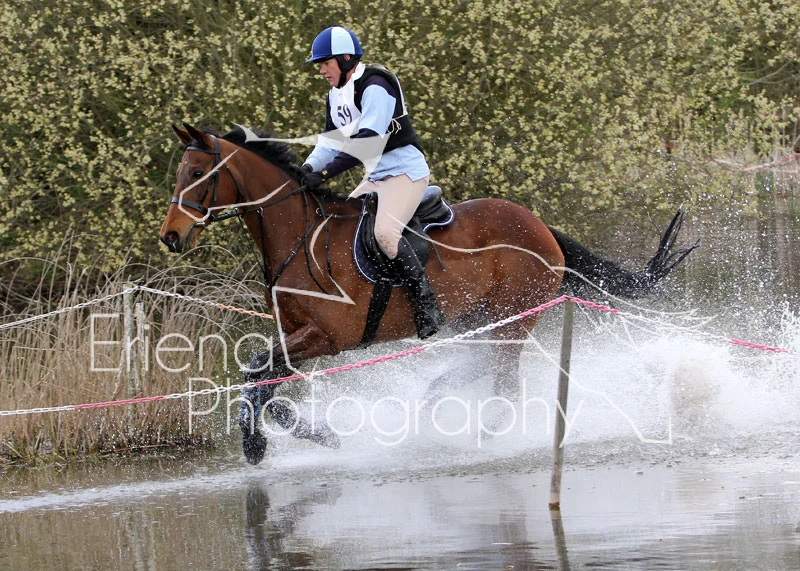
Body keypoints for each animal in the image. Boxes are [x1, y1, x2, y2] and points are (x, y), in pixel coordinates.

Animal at [160, 123, 696, 465]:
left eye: (199, 175)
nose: (171, 236)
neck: (300, 235)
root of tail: (540, 227)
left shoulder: (326, 339)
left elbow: (255, 374)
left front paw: (262, 444)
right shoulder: (295, 334)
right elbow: (259, 379)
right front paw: (309, 434)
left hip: (515, 318)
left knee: (505, 389)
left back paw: (481, 441)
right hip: (479, 321)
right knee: (465, 375)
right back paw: (429, 424)